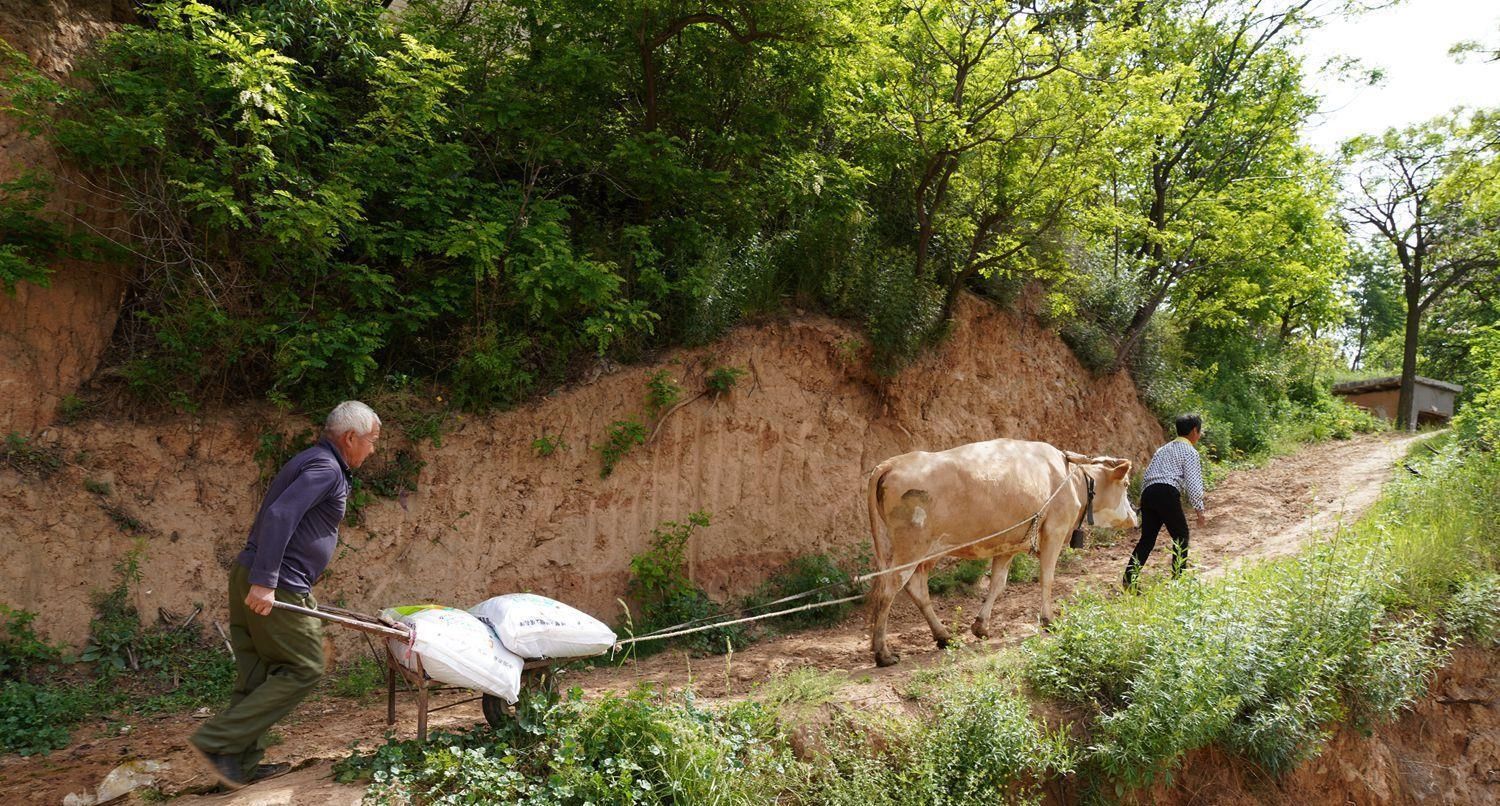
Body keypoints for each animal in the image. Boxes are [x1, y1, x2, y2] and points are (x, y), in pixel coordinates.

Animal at [870, 441, 1134, 666]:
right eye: (1126, 485)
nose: (1134, 516)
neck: (1073, 480)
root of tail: (891, 463)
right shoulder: (1054, 532)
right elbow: (1047, 578)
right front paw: (1049, 620)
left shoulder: (1009, 545)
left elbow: (998, 583)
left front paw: (981, 627)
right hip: (910, 547)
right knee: (888, 590)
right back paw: (883, 653)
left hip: (924, 552)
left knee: (916, 588)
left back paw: (944, 636)